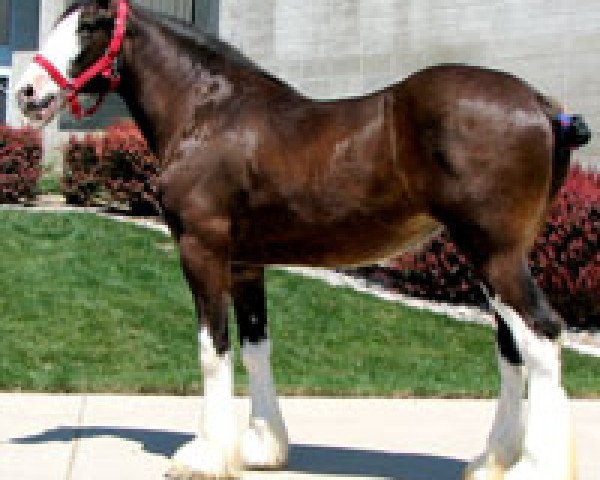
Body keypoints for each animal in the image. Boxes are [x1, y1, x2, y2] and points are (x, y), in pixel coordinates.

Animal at [15, 1, 592, 478]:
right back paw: (491, 460)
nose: (26, 93)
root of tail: (541, 104)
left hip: (494, 254)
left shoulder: (202, 250)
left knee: (541, 333)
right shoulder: (246, 264)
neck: (208, 112)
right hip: (493, 259)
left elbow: (212, 348)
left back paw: (532, 468)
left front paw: (204, 456)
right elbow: (255, 348)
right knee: (512, 347)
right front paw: (262, 448)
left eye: (90, 24)